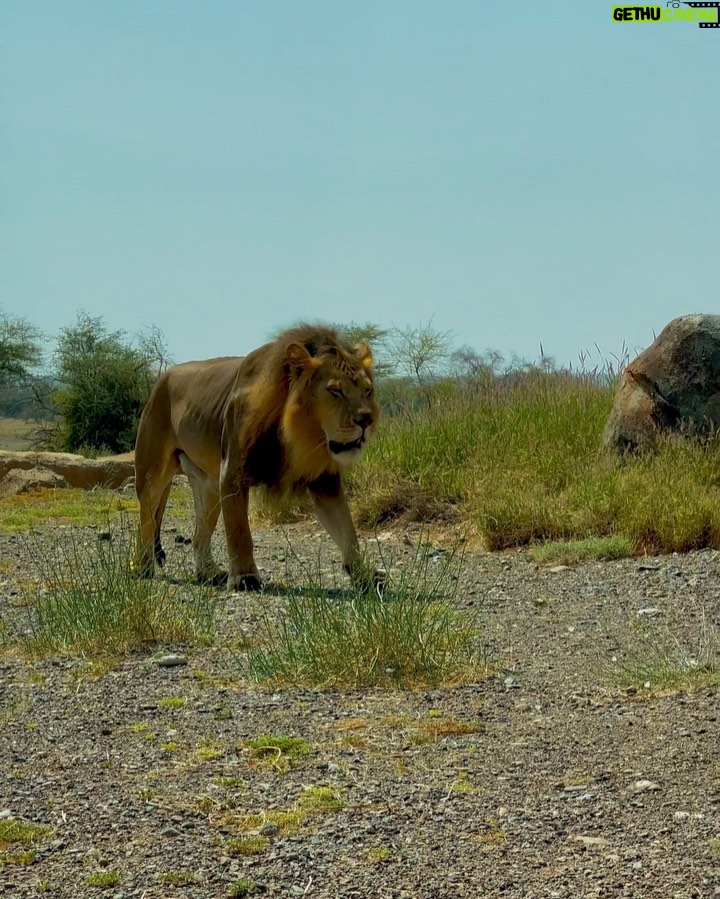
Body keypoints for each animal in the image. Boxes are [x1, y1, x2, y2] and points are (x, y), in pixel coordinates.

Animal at [133, 324, 380, 592]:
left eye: (367, 390)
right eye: (335, 391)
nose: (367, 420)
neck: (301, 436)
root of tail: (162, 378)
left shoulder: (325, 481)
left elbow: (347, 530)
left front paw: (364, 576)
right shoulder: (232, 473)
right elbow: (240, 531)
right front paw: (245, 578)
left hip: (208, 486)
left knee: (199, 536)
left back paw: (209, 573)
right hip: (152, 472)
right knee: (146, 520)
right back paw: (141, 567)